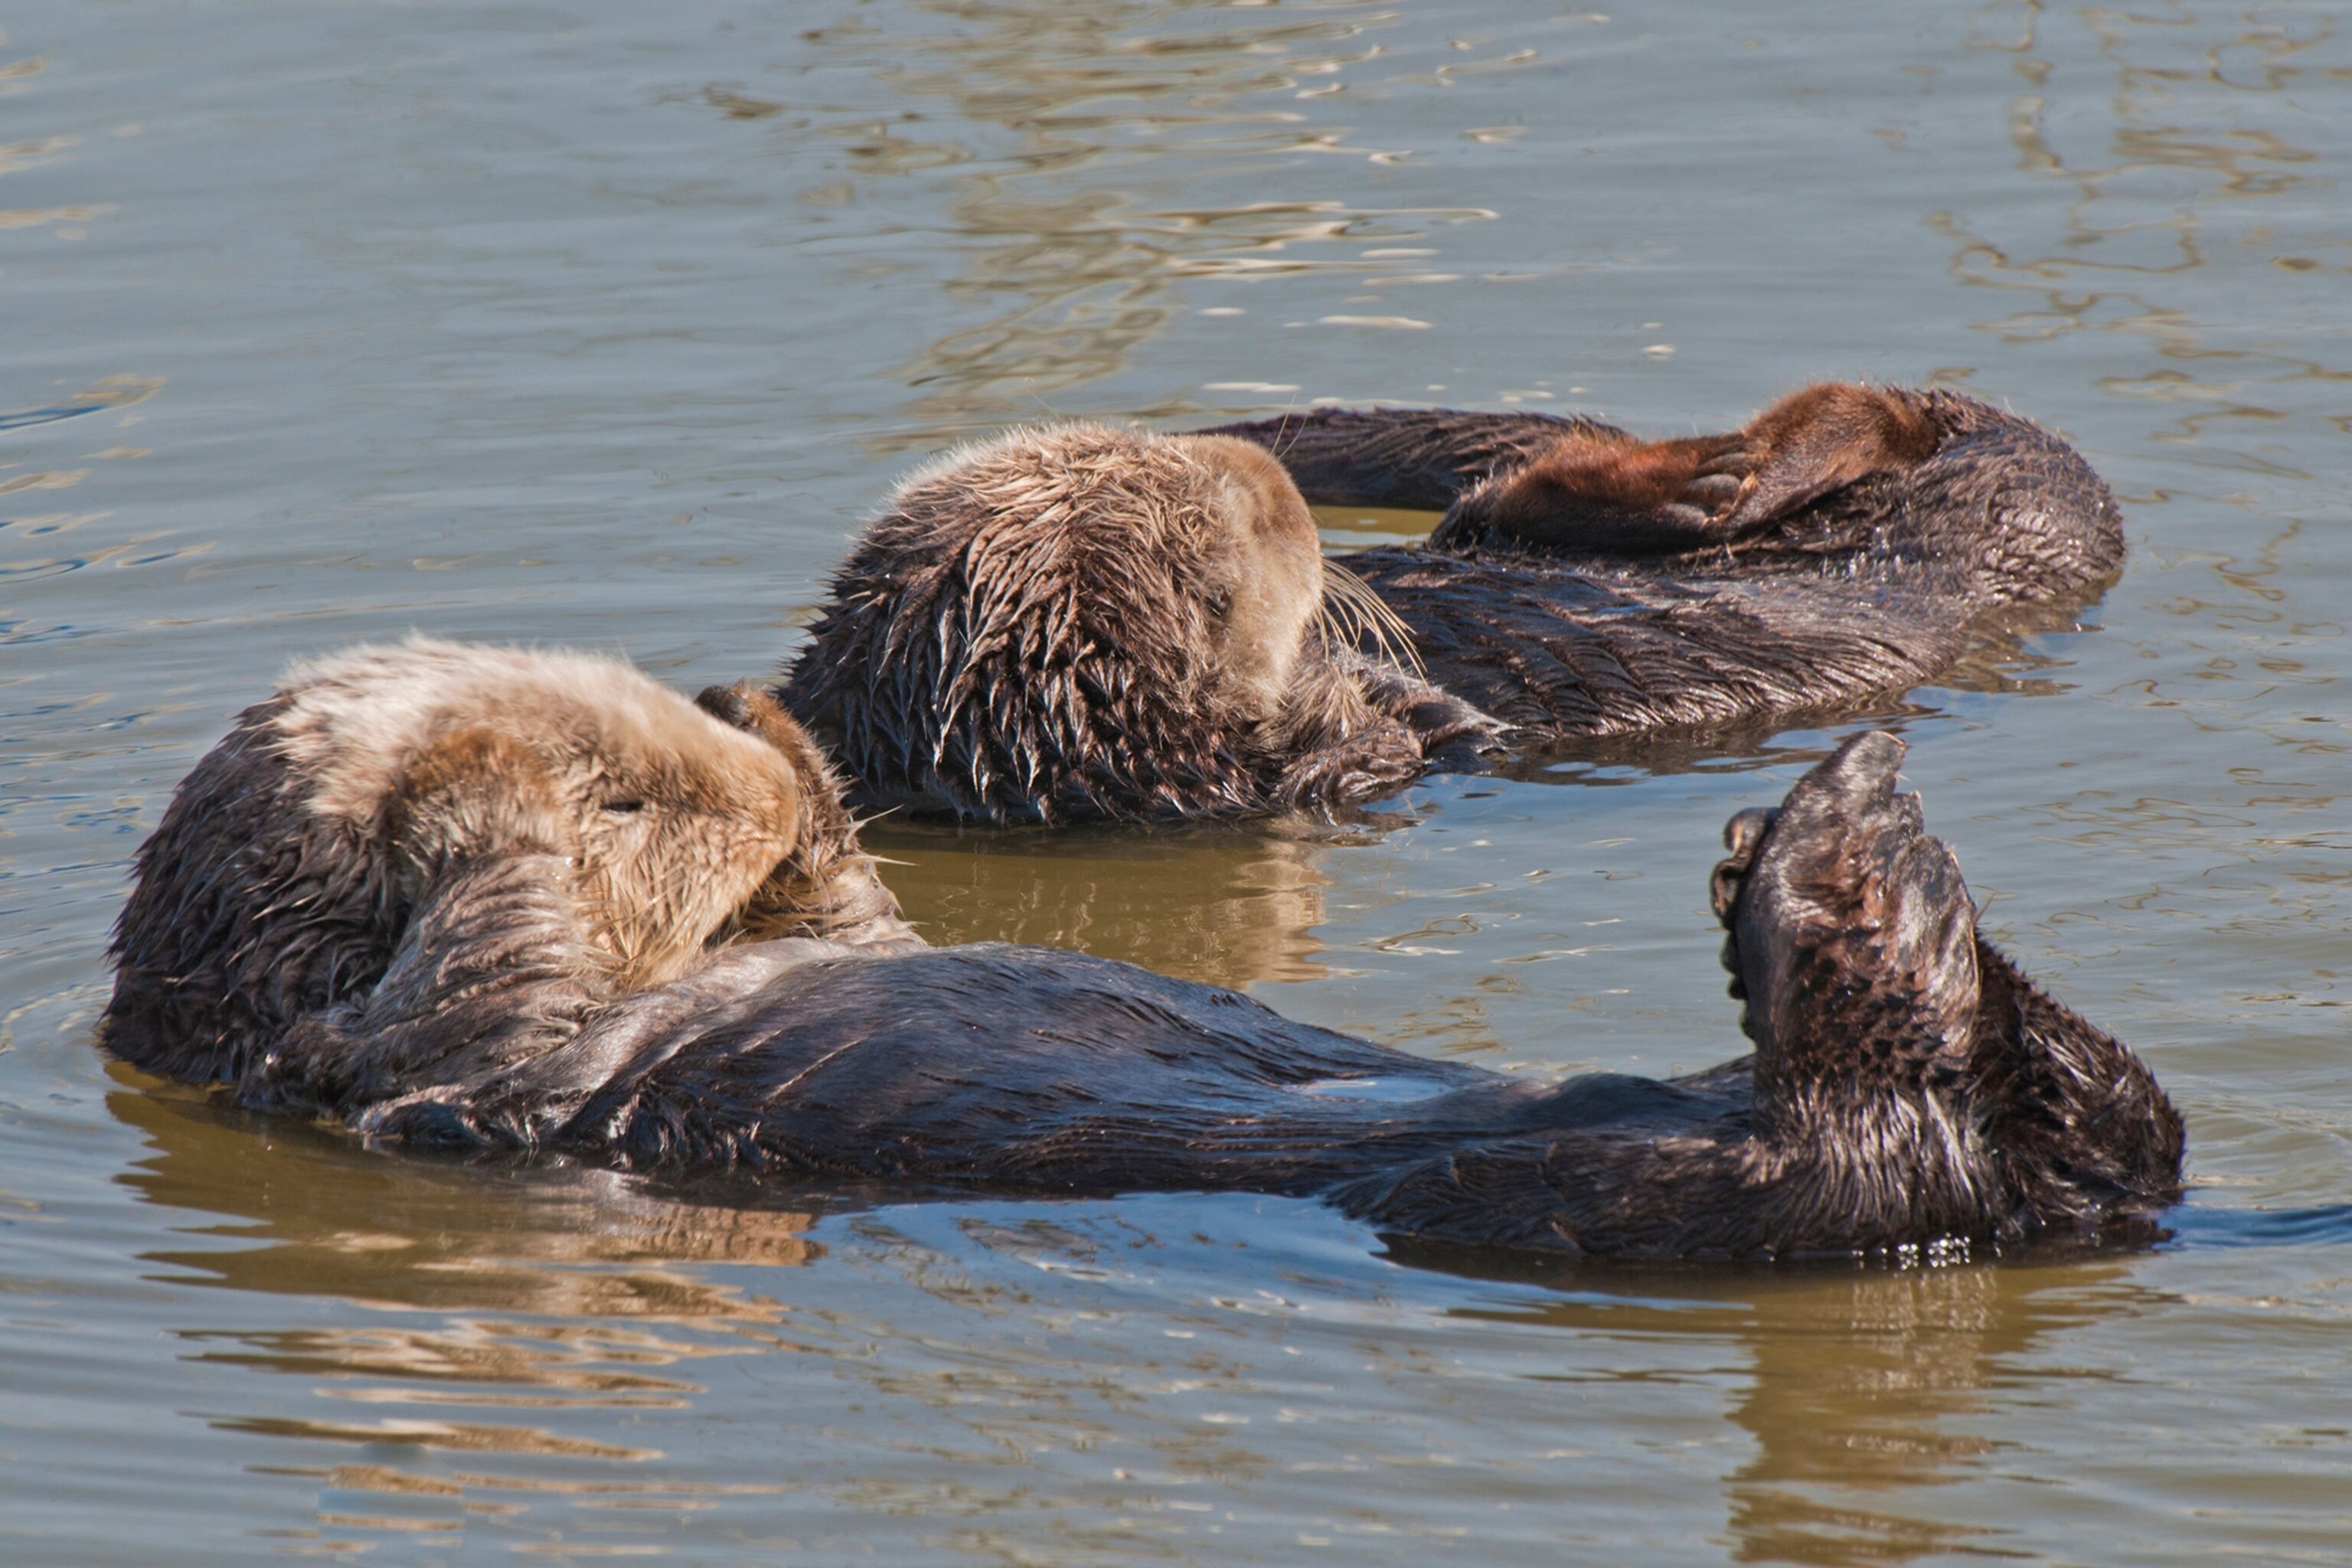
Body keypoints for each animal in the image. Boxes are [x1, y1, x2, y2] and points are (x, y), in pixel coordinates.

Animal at [106, 661, 2183, 1258]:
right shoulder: (401, 1055)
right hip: (1600, 1198)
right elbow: (485, 951)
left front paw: (780, 750)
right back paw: (1834, 856)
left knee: (2111, 1116)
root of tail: (2015, 1206)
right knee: (1849, 1118)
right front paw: (480, 768)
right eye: (623, 796)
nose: (701, 753)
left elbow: (850, 919)